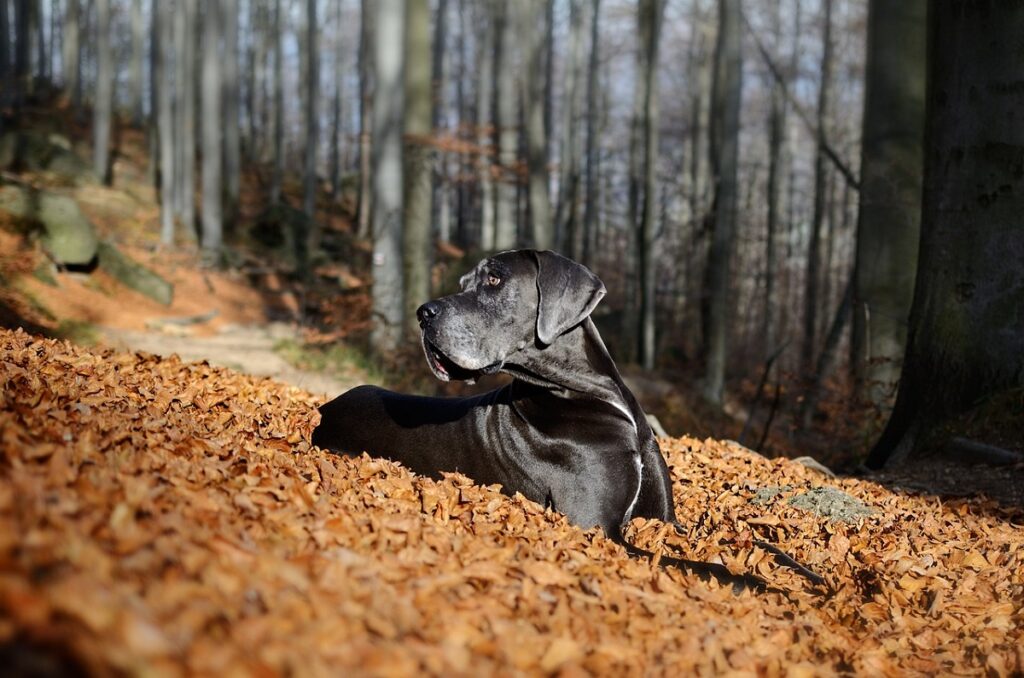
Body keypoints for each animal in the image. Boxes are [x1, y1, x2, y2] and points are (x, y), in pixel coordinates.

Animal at [315, 250, 819, 594]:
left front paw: (811, 575)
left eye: (493, 279)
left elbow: (753, 542)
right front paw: (763, 586)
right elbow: (698, 564)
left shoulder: (665, 519)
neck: (588, 393)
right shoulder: (601, 530)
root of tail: (326, 407)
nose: (423, 313)